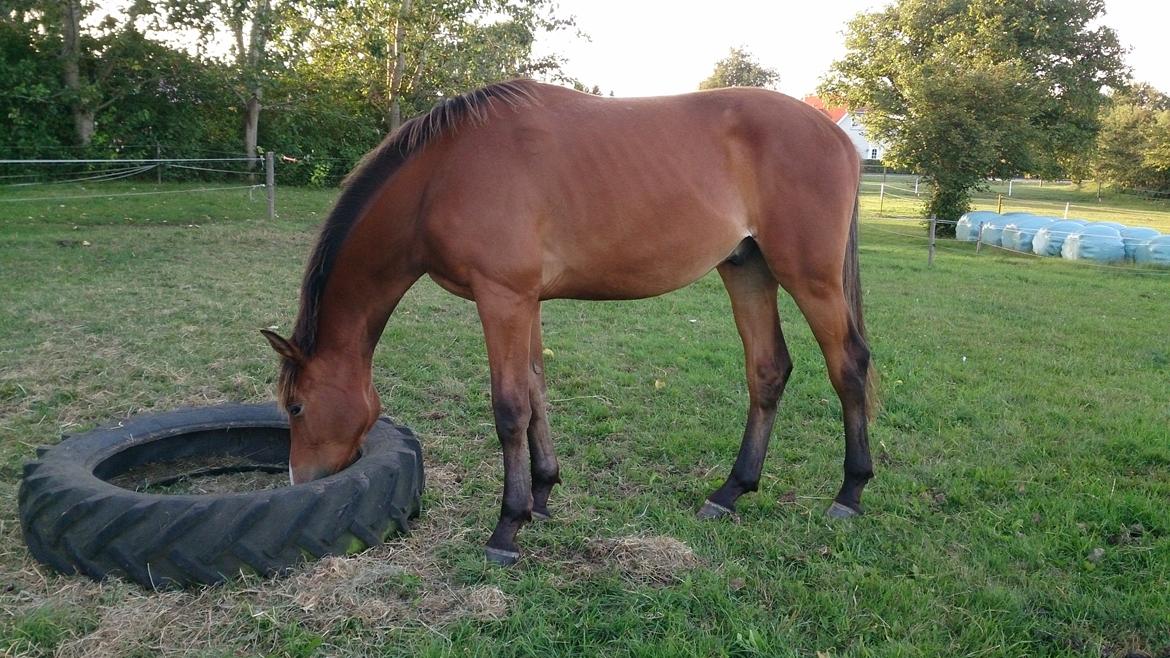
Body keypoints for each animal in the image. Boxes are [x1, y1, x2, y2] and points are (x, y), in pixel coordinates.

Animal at [260, 79, 875, 564]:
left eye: (297, 407)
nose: (302, 483)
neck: (444, 174)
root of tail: (840, 138)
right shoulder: (525, 301)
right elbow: (536, 391)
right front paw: (543, 495)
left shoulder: (502, 298)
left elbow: (510, 408)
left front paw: (507, 526)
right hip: (747, 268)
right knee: (768, 370)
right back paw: (730, 492)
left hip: (810, 278)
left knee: (848, 366)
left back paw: (850, 494)